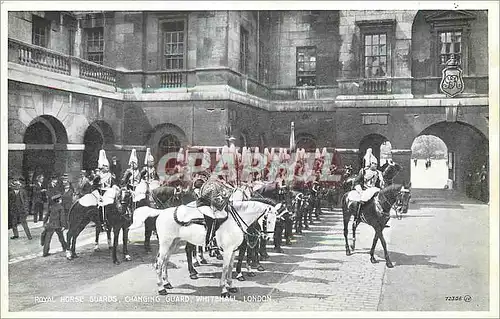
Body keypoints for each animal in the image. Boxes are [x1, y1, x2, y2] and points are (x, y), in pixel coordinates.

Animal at [130, 200, 278, 298]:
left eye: (276, 220)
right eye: (267, 220)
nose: (267, 237)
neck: (234, 221)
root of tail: (161, 212)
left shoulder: (233, 251)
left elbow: (230, 268)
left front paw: (231, 286)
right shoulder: (227, 251)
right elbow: (225, 268)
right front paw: (224, 290)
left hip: (173, 244)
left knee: (165, 262)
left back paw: (167, 283)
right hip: (166, 243)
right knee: (159, 263)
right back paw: (161, 288)